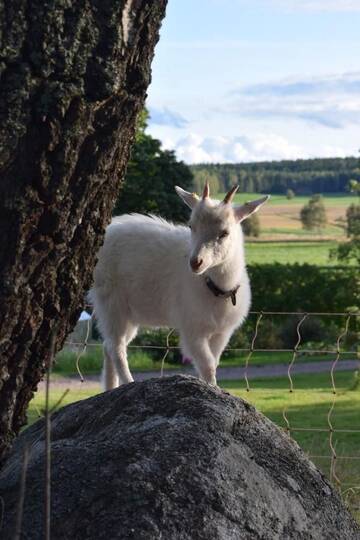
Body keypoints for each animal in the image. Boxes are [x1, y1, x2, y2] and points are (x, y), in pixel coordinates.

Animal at [90, 186, 268, 388]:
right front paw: (211, 387)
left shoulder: (222, 332)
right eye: (191, 226)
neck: (215, 288)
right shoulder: (191, 329)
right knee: (116, 347)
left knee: (108, 345)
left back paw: (110, 387)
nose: (195, 262)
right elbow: (207, 365)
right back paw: (128, 381)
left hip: (129, 314)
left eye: (224, 232)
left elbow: (214, 361)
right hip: (111, 302)